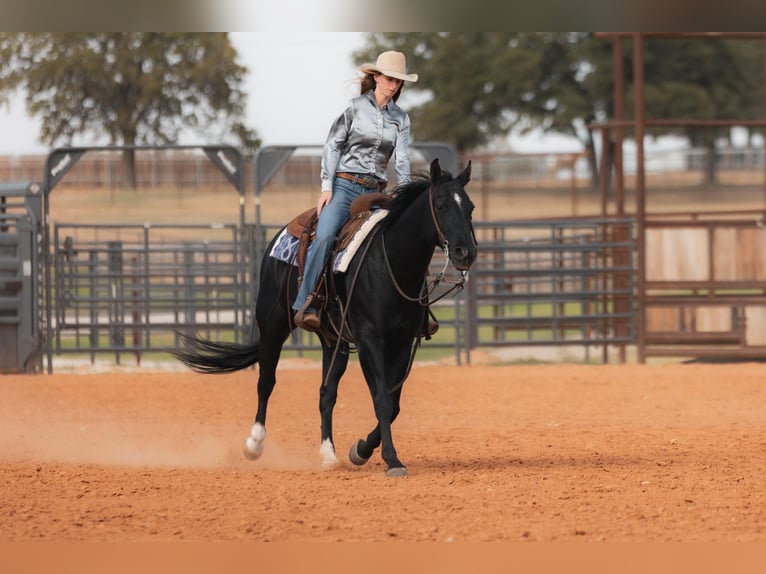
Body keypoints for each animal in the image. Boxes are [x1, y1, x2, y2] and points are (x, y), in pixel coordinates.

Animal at [174, 160, 476, 480]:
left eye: (470, 207)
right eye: (440, 205)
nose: (465, 253)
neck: (391, 264)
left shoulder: (402, 344)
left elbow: (392, 404)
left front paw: (361, 450)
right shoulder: (370, 340)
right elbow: (382, 400)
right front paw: (392, 460)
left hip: (334, 340)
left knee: (326, 392)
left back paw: (329, 454)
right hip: (273, 325)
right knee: (266, 381)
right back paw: (254, 444)